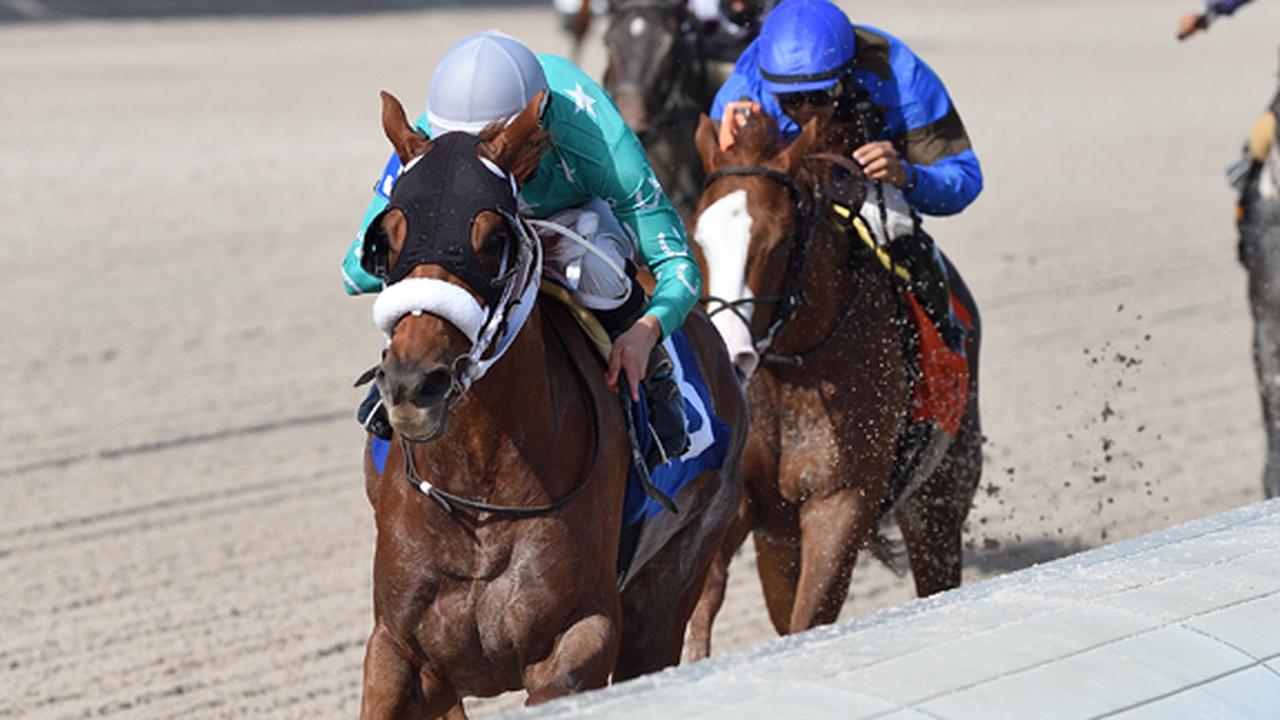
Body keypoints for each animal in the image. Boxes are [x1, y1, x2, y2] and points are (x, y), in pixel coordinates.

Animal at [356, 90, 748, 718]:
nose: (415, 383)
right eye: (386, 240)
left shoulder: (582, 637)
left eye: (493, 242)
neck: (478, 492)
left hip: (670, 589)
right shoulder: (399, 650)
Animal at [683, 112, 984, 650]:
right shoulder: (743, 508)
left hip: (936, 506)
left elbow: (811, 617)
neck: (786, 378)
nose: (730, 350)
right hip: (780, 544)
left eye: (780, 240)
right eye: (700, 240)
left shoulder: (839, 504)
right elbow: (702, 606)